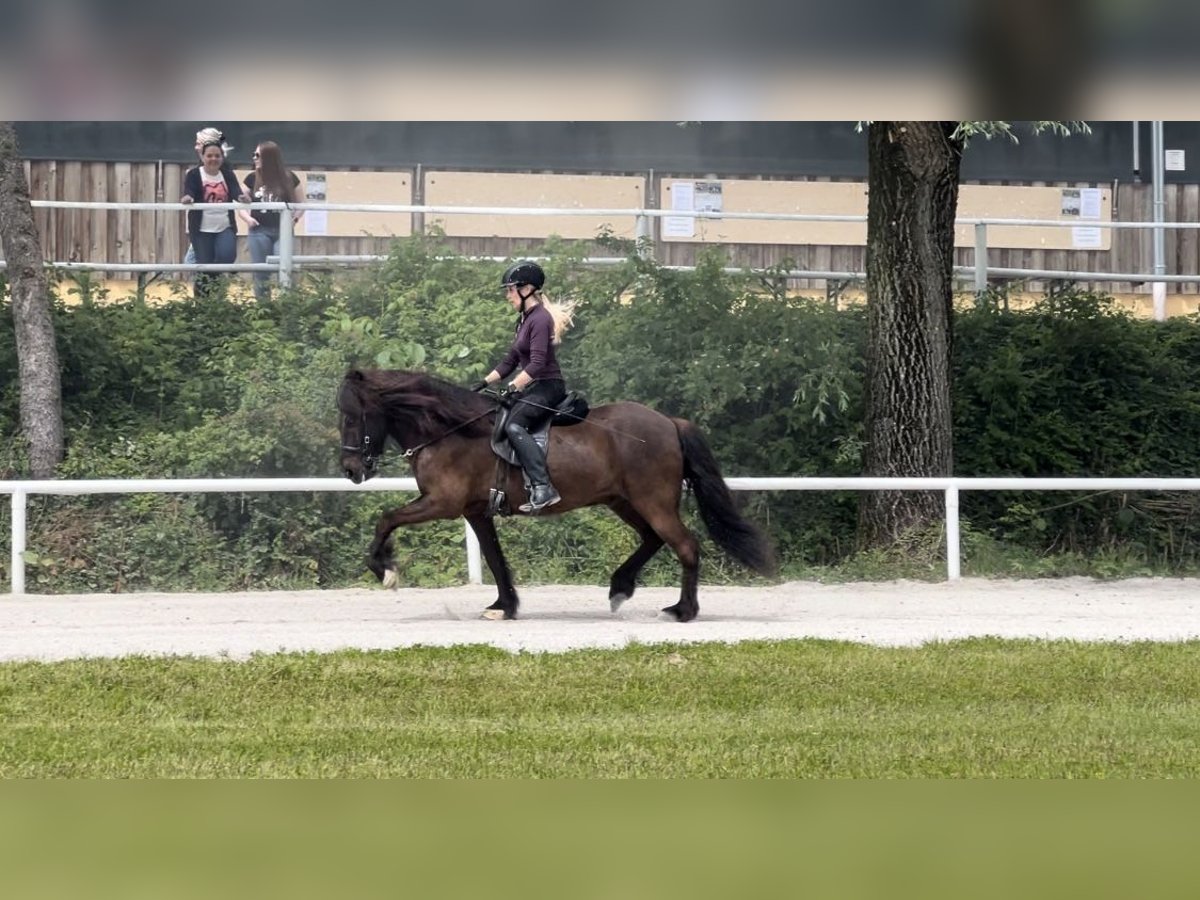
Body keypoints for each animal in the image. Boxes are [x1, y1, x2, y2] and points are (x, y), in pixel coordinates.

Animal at [336, 369, 777, 624]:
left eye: (352, 416)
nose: (351, 471)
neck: (448, 430)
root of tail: (669, 422)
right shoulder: (476, 511)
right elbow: (495, 558)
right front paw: (504, 606)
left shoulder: (443, 503)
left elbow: (387, 518)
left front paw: (384, 570)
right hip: (623, 501)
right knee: (652, 539)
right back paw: (620, 588)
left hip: (653, 502)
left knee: (685, 545)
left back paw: (683, 611)